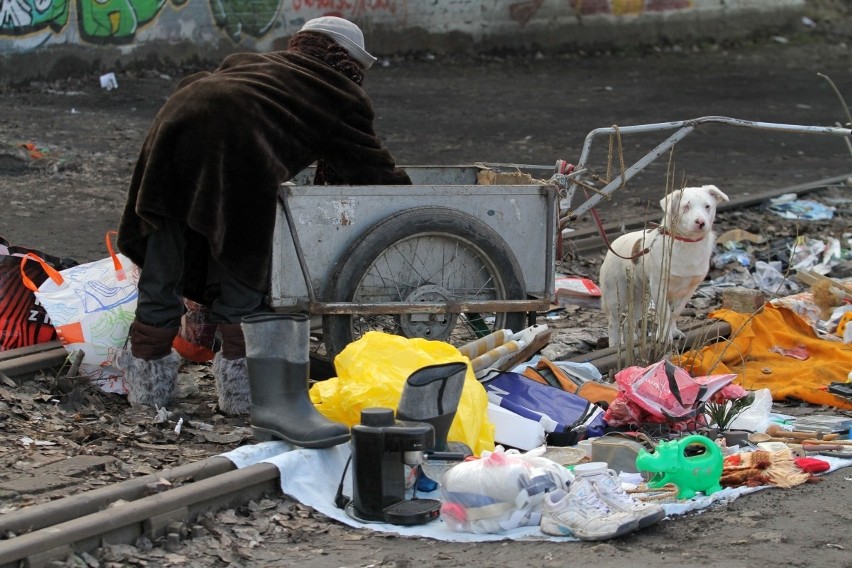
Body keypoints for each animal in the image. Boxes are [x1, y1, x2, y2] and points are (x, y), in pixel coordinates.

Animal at [596, 184, 728, 348]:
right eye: (686, 207)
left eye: (707, 206)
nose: (701, 222)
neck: (686, 242)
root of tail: (612, 245)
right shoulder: (659, 286)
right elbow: (665, 313)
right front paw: (664, 336)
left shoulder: (689, 289)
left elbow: (674, 313)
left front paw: (672, 332)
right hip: (616, 294)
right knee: (614, 322)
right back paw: (615, 345)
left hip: (641, 298)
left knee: (628, 323)